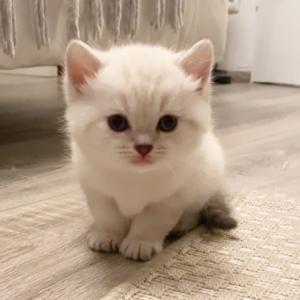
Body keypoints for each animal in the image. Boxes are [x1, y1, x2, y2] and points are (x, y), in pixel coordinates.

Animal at [63, 39, 237, 260]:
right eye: (116, 122)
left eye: (168, 123)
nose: (143, 147)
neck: (134, 177)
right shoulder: (98, 191)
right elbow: (108, 217)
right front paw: (107, 235)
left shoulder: (170, 199)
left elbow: (151, 222)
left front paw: (140, 242)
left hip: (205, 180)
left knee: (195, 212)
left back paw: (182, 223)